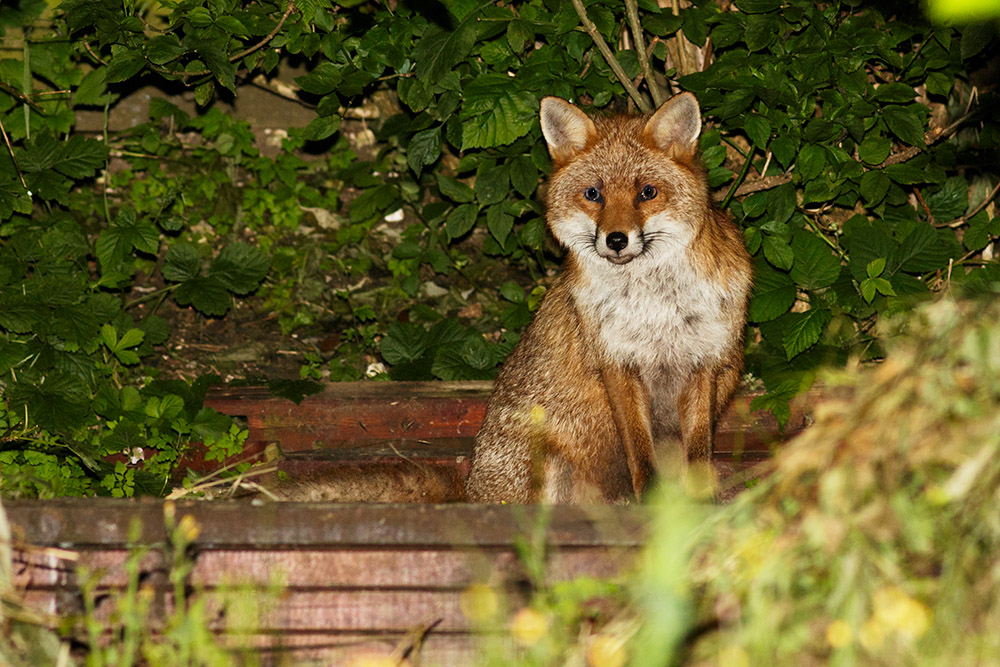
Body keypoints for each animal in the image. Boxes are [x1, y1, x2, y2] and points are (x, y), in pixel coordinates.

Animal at [465, 93, 753, 504]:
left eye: (647, 192)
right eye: (593, 194)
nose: (616, 239)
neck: (655, 310)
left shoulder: (703, 363)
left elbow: (698, 454)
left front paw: (701, 505)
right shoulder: (617, 363)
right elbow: (638, 450)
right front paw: (649, 503)